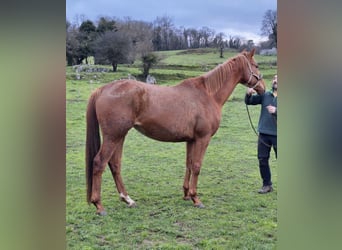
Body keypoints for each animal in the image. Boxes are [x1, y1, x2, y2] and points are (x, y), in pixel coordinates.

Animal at [85, 48, 264, 215]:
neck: (208, 94)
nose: (263, 87)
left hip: (120, 136)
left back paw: (127, 199)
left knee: (115, 164)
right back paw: (99, 205)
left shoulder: (191, 140)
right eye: (256, 65)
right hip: (113, 136)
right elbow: (197, 166)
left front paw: (186, 194)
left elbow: (189, 165)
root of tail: (103, 89)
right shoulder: (203, 138)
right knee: (99, 163)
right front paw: (196, 198)